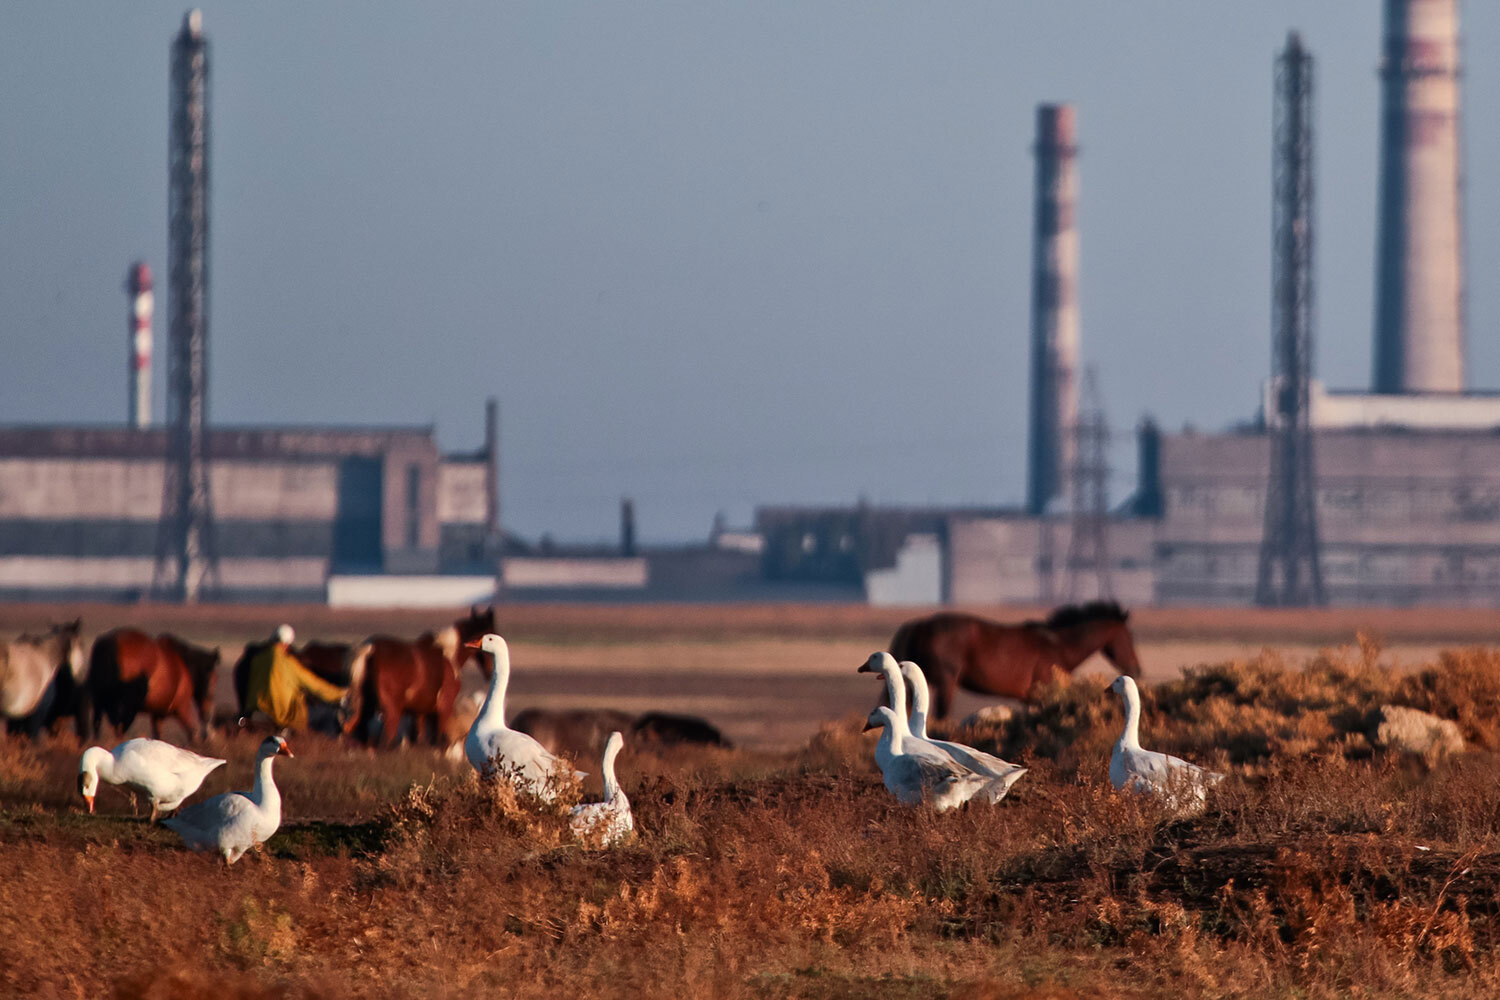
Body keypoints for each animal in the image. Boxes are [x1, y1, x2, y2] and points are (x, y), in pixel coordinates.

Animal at [89, 629, 220, 740]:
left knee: (98, 725)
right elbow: (192, 732)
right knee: (119, 728)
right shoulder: (182, 708)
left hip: (100, 702)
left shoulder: (157, 714)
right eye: (213, 680)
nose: (208, 714)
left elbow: (158, 735)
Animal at [345, 605, 498, 746]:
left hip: (368, 711)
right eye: (492, 635)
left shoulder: (420, 714)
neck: (449, 656)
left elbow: (420, 740)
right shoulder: (443, 709)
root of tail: (371, 649)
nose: (490, 671)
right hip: (392, 713)